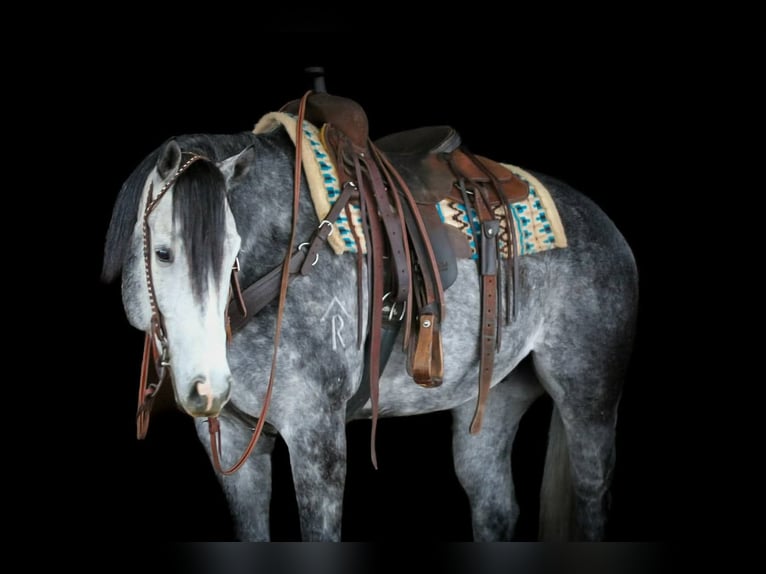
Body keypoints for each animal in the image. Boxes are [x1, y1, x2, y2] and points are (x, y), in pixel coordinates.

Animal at [101, 92, 638, 541]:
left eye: (232, 252)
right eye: (163, 253)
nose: (207, 387)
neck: (287, 258)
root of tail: (604, 225)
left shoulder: (317, 436)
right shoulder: (233, 445)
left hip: (588, 395)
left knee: (592, 498)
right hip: (495, 398)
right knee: (496, 509)